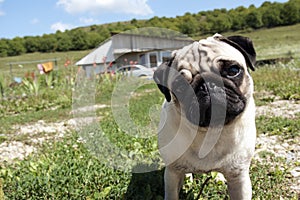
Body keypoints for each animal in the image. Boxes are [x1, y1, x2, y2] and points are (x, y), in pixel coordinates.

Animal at [155, 33, 255, 199]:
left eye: (233, 70)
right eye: (180, 86)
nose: (208, 85)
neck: (210, 131)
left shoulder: (238, 177)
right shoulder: (172, 174)